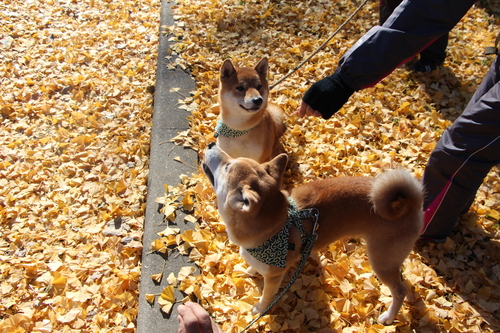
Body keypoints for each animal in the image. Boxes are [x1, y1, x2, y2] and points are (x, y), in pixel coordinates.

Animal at [201, 143, 424, 324]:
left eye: (227, 166)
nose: (211, 144)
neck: (278, 226)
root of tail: (411, 204)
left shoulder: (274, 277)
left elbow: (266, 297)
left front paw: (259, 309)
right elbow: (252, 265)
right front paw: (249, 269)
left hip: (380, 261)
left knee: (398, 290)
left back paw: (389, 316)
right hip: (391, 260)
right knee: (404, 282)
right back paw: (411, 296)